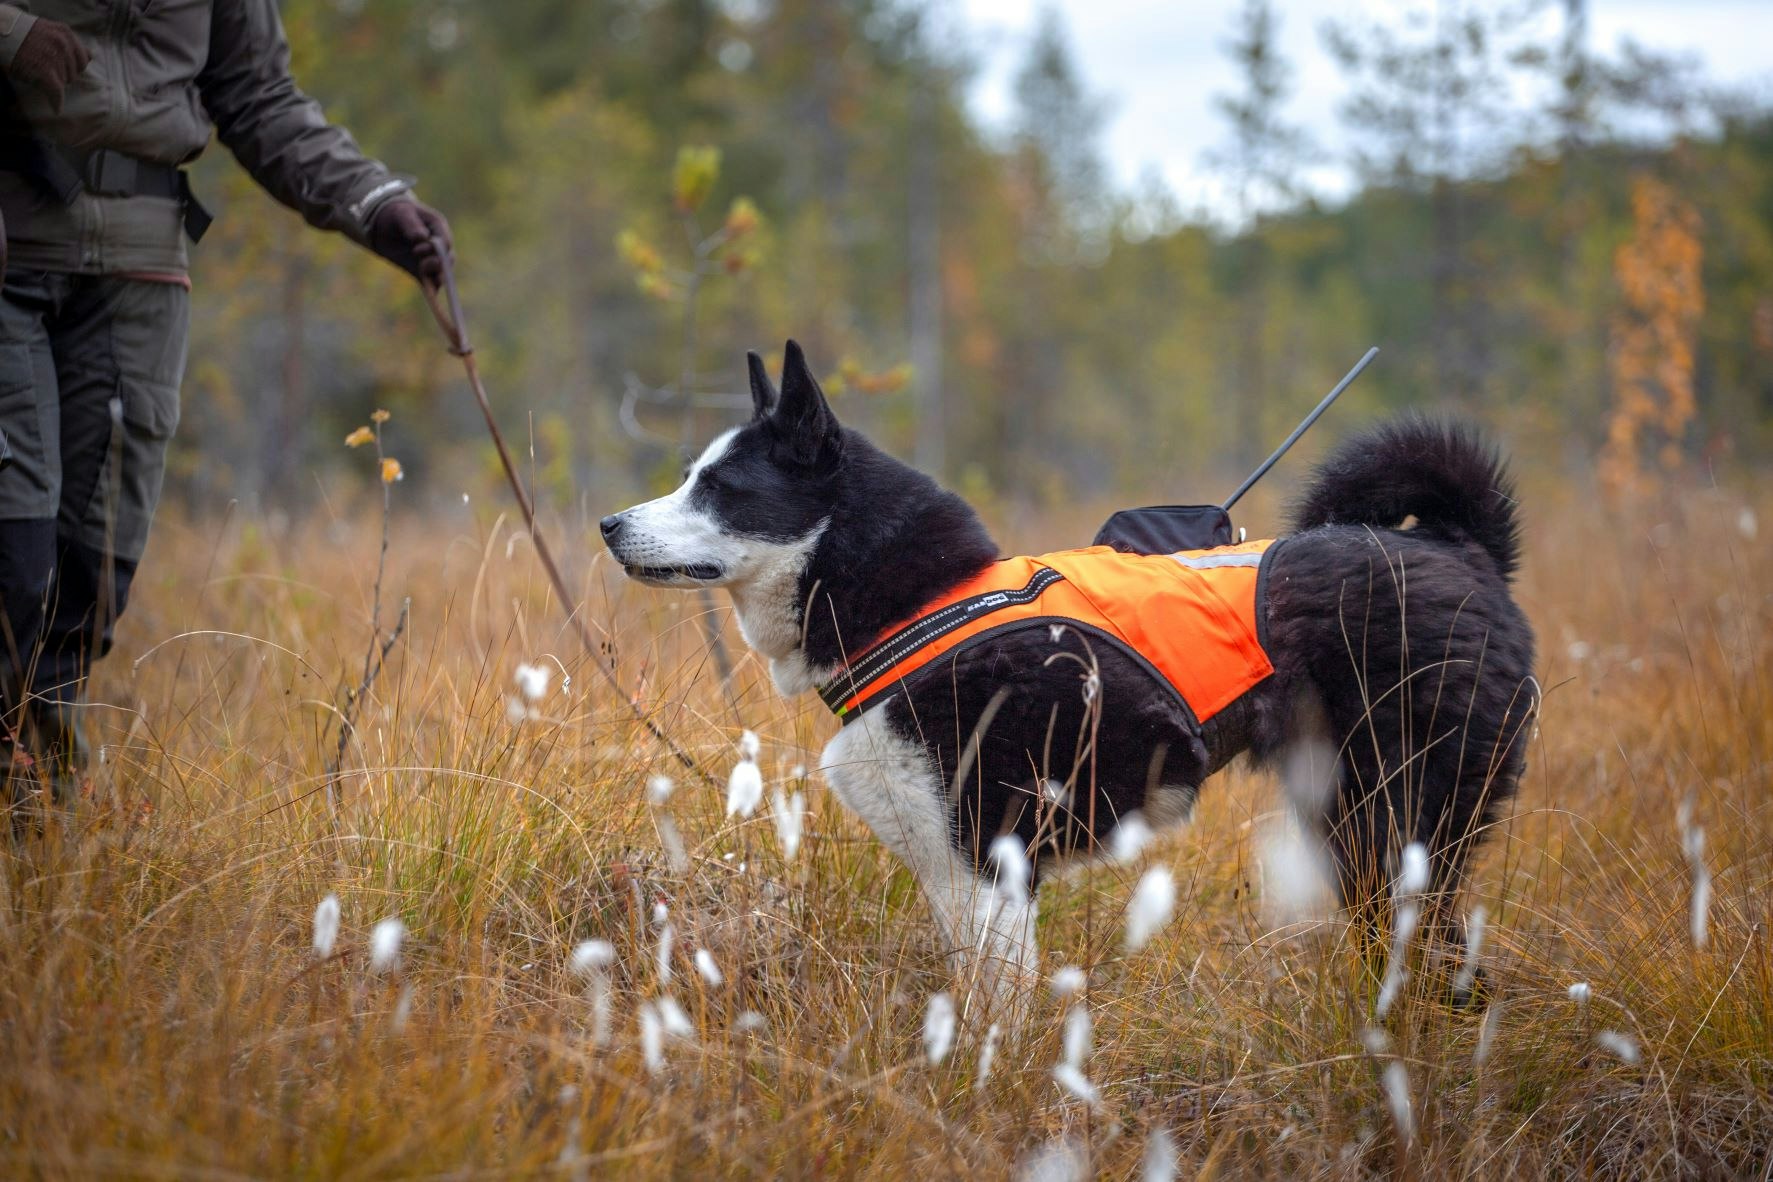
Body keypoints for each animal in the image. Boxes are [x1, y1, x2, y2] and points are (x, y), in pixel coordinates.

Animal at [606, 340, 1538, 1006]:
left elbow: (997, 1011)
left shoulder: (989, 865)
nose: (610, 525)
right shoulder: (950, 874)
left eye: (718, 487)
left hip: (1401, 824)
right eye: (690, 478)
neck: (921, 607)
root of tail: (1461, 549)